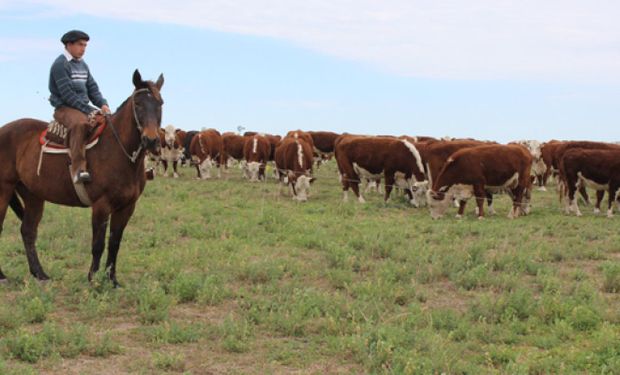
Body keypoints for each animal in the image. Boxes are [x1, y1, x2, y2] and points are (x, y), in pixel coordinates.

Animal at [0, 70, 162, 286]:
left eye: (160, 103)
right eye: (138, 104)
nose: (151, 140)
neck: (118, 151)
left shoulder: (127, 207)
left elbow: (115, 243)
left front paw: (112, 280)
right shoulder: (101, 205)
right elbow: (98, 244)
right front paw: (93, 280)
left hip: (33, 195)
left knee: (28, 231)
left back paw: (40, 274)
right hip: (3, 190)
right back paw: (2, 276)